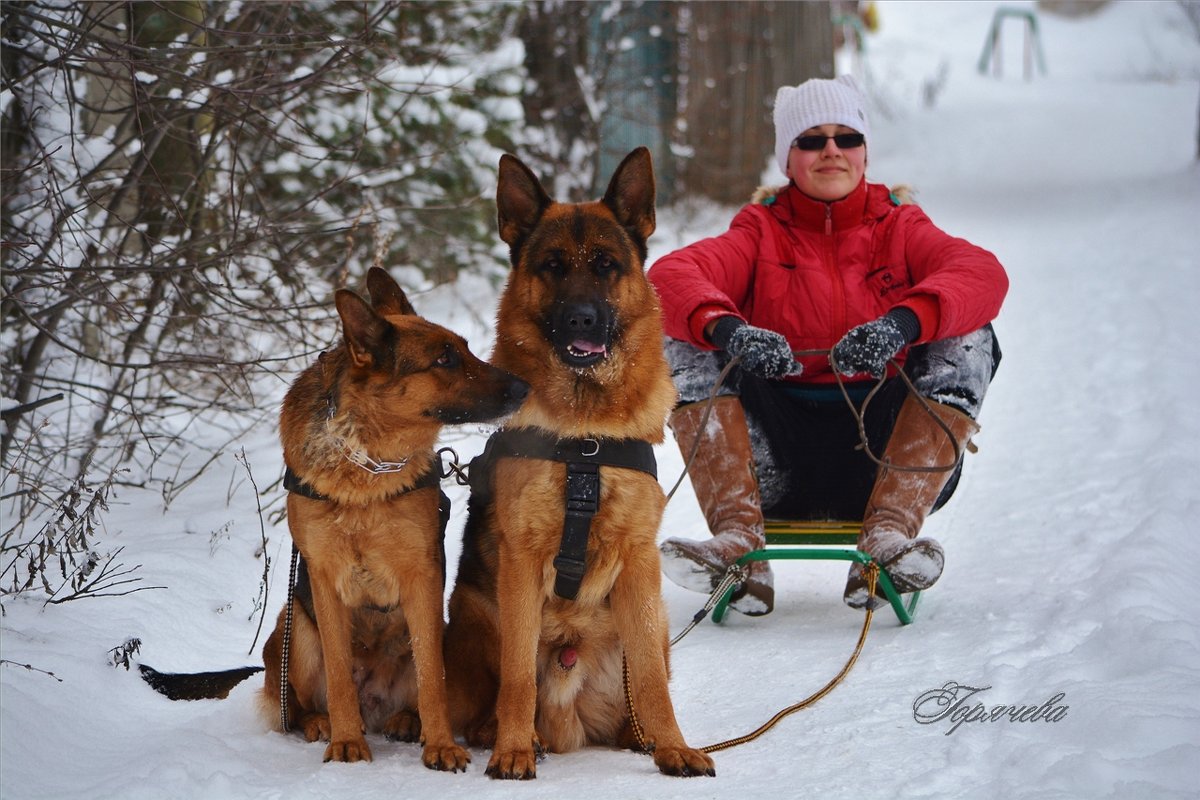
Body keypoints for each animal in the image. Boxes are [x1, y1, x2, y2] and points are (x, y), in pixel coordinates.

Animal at [260, 267, 528, 767]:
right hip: (294, 630)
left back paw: (408, 721)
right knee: (299, 704)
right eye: (444, 358)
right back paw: (322, 723)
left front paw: (441, 745)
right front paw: (346, 740)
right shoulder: (324, 581)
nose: (524, 388)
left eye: (463, 347)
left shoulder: (420, 577)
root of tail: (376, 705)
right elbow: (339, 676)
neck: (367, 461)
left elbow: (431, 679)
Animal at [448, 146, 710, 777]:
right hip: (472, 612)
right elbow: (518, 674)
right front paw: (514, 750)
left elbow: (651, 681)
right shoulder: (521, 563)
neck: (586, 434)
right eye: (553, 266)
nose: (582, 319)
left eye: (606, 265)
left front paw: (673, 746)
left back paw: (638, 737)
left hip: (653, 618)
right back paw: (508, 735)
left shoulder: (639, 563)